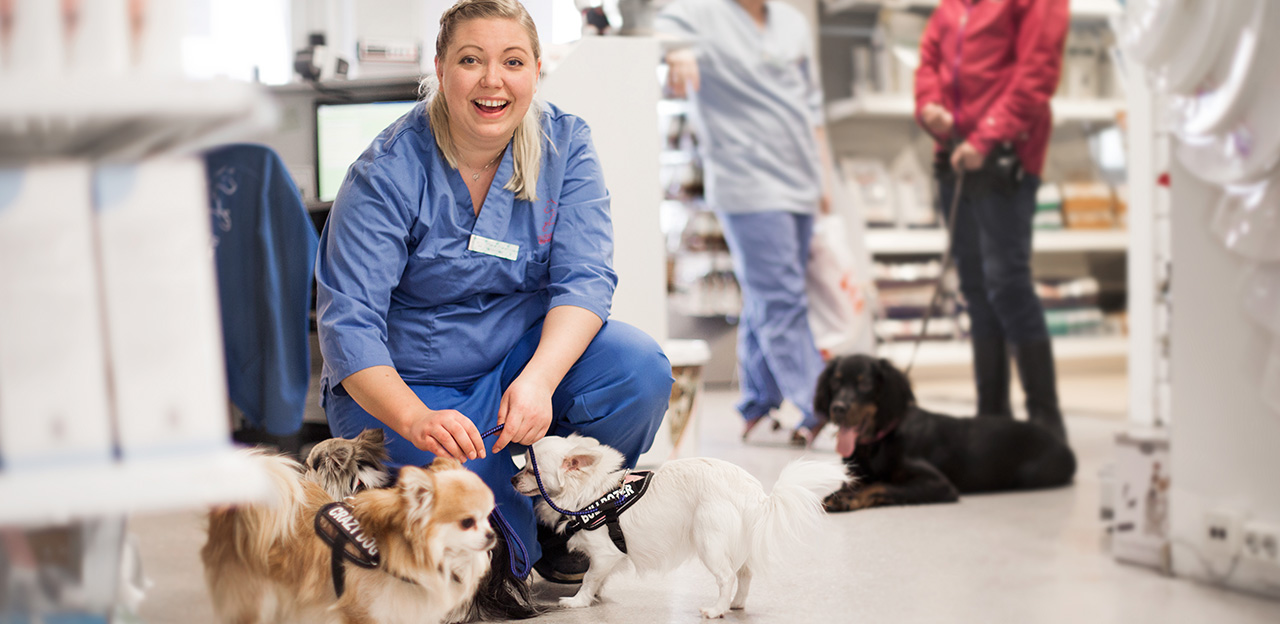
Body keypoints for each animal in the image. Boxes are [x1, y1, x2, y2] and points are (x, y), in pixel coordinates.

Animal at [509, 434, 849, 618]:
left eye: (529, 470)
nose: (511, 479)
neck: (593, 495)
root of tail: (755, 493)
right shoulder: (607, 559)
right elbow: (599, 579)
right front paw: (597, 596)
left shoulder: (605, 553)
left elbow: (591, 577)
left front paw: (579, 601)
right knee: (744, 575)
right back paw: (737, 604)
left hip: (709, 542)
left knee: (727, 577)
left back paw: (717, 609)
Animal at [814, 355, 1075, 511]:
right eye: (835, 382)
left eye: (865, 384)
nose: (837, 408)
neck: (879, 442)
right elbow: (856, 483)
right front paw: (840, 493)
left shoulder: (939, 484)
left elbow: (883, 485)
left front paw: (849, 498)